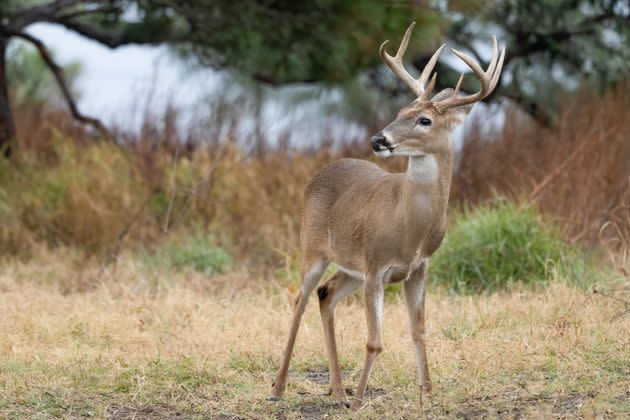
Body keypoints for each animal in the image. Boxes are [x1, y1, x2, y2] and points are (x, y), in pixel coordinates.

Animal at [270, 22, 506, 410]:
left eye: (424, 120)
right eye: (401, 110)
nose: (377, 139)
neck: (410, 227)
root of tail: (320, 173)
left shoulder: (417, 267)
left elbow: (419, 330)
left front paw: (428, 393)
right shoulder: (376, 265)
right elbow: (374, 341)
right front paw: (360, 402)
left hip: (351, 267)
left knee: (326, 293)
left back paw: (337, 390)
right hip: (313, 248)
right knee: (299, 299)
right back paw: (279, 389)